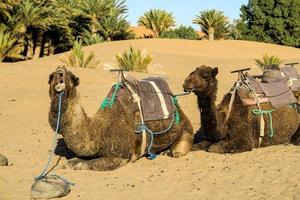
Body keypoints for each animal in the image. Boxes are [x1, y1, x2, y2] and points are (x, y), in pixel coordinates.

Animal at [47, 65, 192, 170]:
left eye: (72, 77)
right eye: (51, 76)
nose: (60, 71)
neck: (98, 132)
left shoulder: (120, 157)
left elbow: (83, 163)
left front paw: (67, 164)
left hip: (184, 126)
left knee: (179, 149)